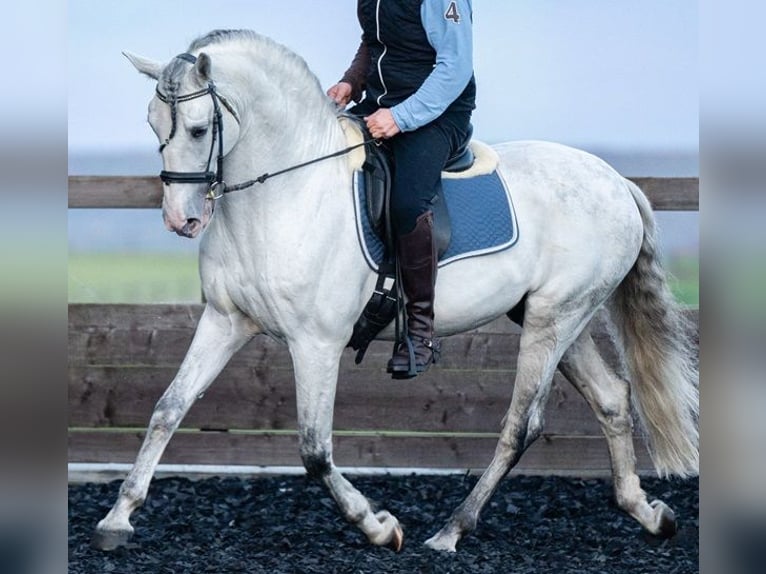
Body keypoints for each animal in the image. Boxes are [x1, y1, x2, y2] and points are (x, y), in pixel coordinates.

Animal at [93, 30, 700, 552]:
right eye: (152, 123)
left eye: (198, 129)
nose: (182, 219)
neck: (286, 193)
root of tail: (615, 181)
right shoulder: (224, 320)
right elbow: (168, 409)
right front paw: (117, 519)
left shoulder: (316, 342)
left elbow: (314, 450)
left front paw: (380, 528)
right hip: (555, 318)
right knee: (612, 399)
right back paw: (647, 513)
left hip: (555, 321)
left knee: (521, 425)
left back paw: (450, 531)